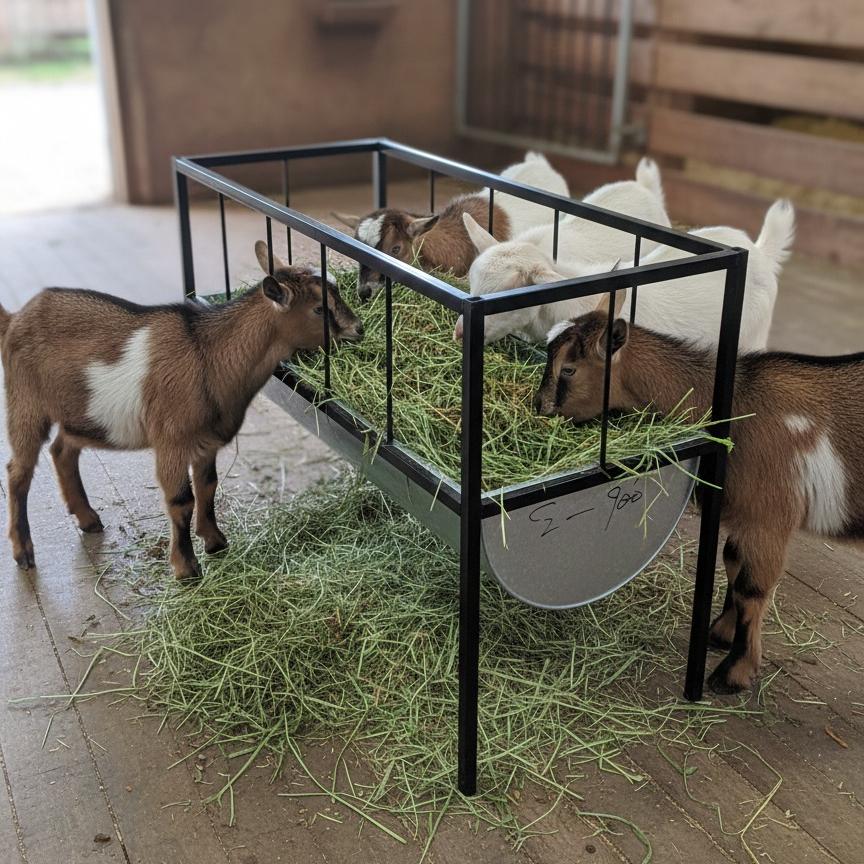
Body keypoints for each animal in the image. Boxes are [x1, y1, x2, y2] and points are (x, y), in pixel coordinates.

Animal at [0, 241, 362, 580]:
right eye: (319, 308)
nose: (358, 329)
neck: (209, 354)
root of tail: (15, 319)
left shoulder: (206, 442)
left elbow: (208, 486)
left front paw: (215, 541)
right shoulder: (171, 442)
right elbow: (181, 500)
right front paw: (186, 568)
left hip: (79, 414)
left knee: (63, 450)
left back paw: (88, 519)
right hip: (25, 402)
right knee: (19, 471)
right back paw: (24, 552)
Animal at [534, 289, 864, 693]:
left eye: (569, 369)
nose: (538, 407)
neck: (736, 404)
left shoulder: (768, 518)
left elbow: (751, 588)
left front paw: (733, 674)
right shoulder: (742, 515)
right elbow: (732, 561)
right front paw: (719, 633)